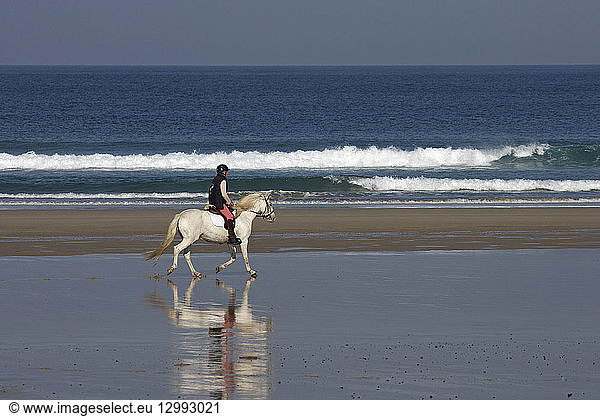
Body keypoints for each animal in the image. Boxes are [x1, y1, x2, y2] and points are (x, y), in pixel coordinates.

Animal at [144, 193, 276, 278]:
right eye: (269, 203)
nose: (273, 217)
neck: (244, 215)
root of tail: (181, 215)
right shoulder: (244, 240)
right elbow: (245, 257)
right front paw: (251, 272)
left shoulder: (231, 242)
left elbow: (233, 258)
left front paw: (219, 268)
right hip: (189, 239)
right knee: (177, 249)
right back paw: (172, 269)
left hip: (189, 240)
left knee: (186, 254)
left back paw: (196, 273)